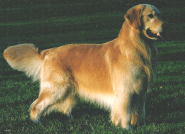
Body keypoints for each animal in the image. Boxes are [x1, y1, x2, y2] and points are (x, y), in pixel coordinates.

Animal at [3, 3, 165, 130]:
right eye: (150, 16)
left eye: (158, 14)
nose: (167, 24)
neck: (138, 46)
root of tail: (48, 52)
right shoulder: (125, 91)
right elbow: (124, 113)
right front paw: (127, 128)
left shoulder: (141, 91)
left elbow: (140, 112)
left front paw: (142, 127)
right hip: (57, 88)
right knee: (36, 105)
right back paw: (37, 123)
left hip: (69, 89)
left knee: (64, 107)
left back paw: (71, 120)